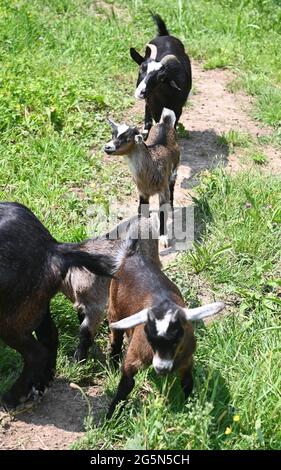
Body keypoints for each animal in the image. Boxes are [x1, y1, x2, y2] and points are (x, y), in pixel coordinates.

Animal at [0, 202, 114, 408]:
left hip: (10, 315)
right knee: (50, 337)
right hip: (36, 304)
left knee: (35, 353)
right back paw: (41, 385)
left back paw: (12, 397)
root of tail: (52, 249)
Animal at [103, 106, 179, 246]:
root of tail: (165, 122)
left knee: (172, 185)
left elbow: (162, 213)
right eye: (113, 134)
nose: (107, 147)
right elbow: (141, 210)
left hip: (175, 168)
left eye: (128, 139)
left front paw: (163, 239)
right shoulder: (142, 191)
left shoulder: (163, 191)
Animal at [106, 239, 224, 418]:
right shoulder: (135, 356)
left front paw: (187, 408)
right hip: (114, 307)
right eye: (149, 339)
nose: (162, 368)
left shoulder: (186, 360)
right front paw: (111, 414)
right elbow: (126, 383)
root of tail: (131, 254)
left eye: (177, 340)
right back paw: (113, 363)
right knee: (116, 335)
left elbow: (187, 382)